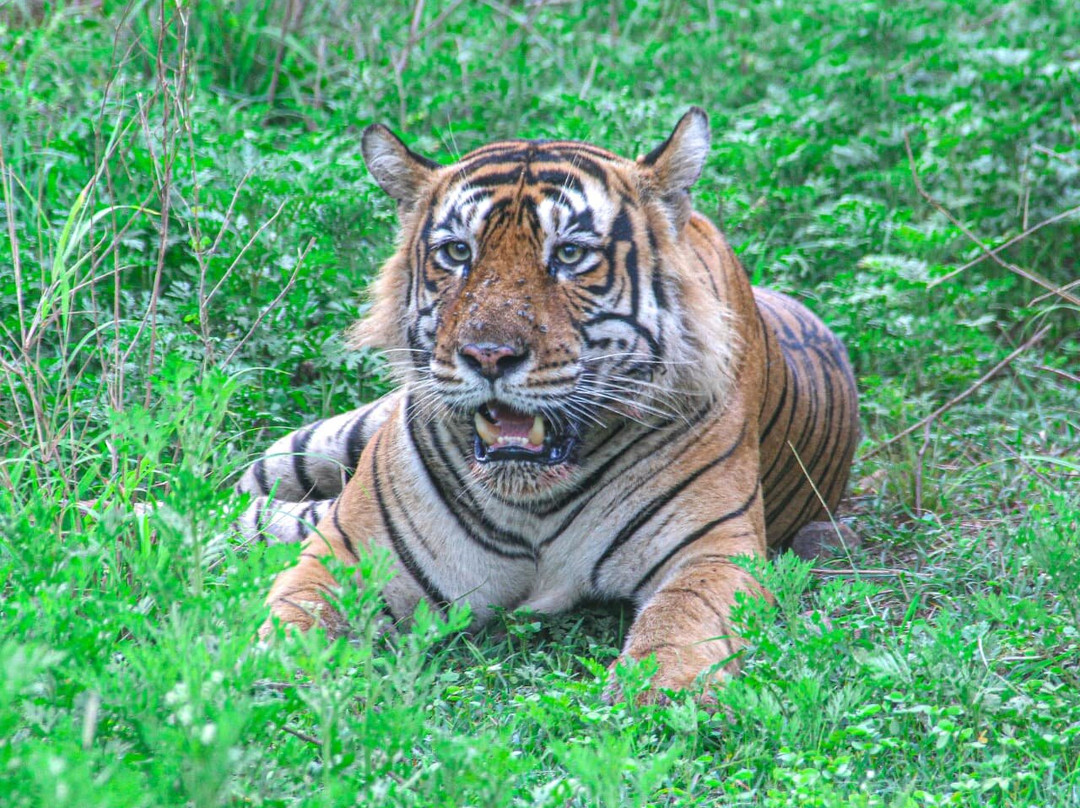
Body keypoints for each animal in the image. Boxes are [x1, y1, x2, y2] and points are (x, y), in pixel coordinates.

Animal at [237, 108, 860, 698]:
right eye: (457, 252)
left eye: (569, 253)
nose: (487, 355)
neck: (532, 503)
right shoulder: (349, 549)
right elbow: (295, 617)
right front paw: (257, 675)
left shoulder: (714, 549)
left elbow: (685, 616)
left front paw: (663, 690)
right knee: (250, 489)